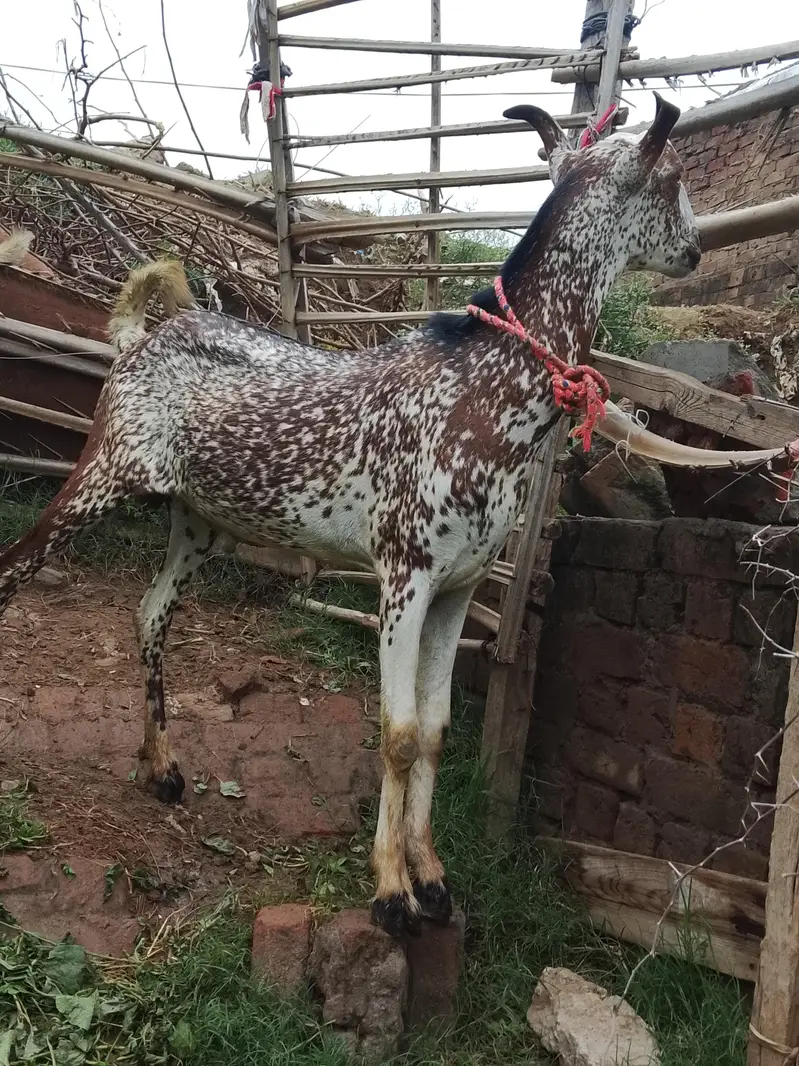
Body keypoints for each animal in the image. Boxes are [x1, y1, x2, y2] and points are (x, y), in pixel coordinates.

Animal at [0, 95, 702, 937]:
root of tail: (143, 336)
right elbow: (397, 735)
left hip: (197, 519)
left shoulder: (459, 587)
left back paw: (162, 768)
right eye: (672, 177)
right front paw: (392, 892)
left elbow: (434, 732)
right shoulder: (404, 572)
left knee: (149, 612)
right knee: (14, 568)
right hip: (103, 472)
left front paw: (432, 877)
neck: (487, 393)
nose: (695, 252)